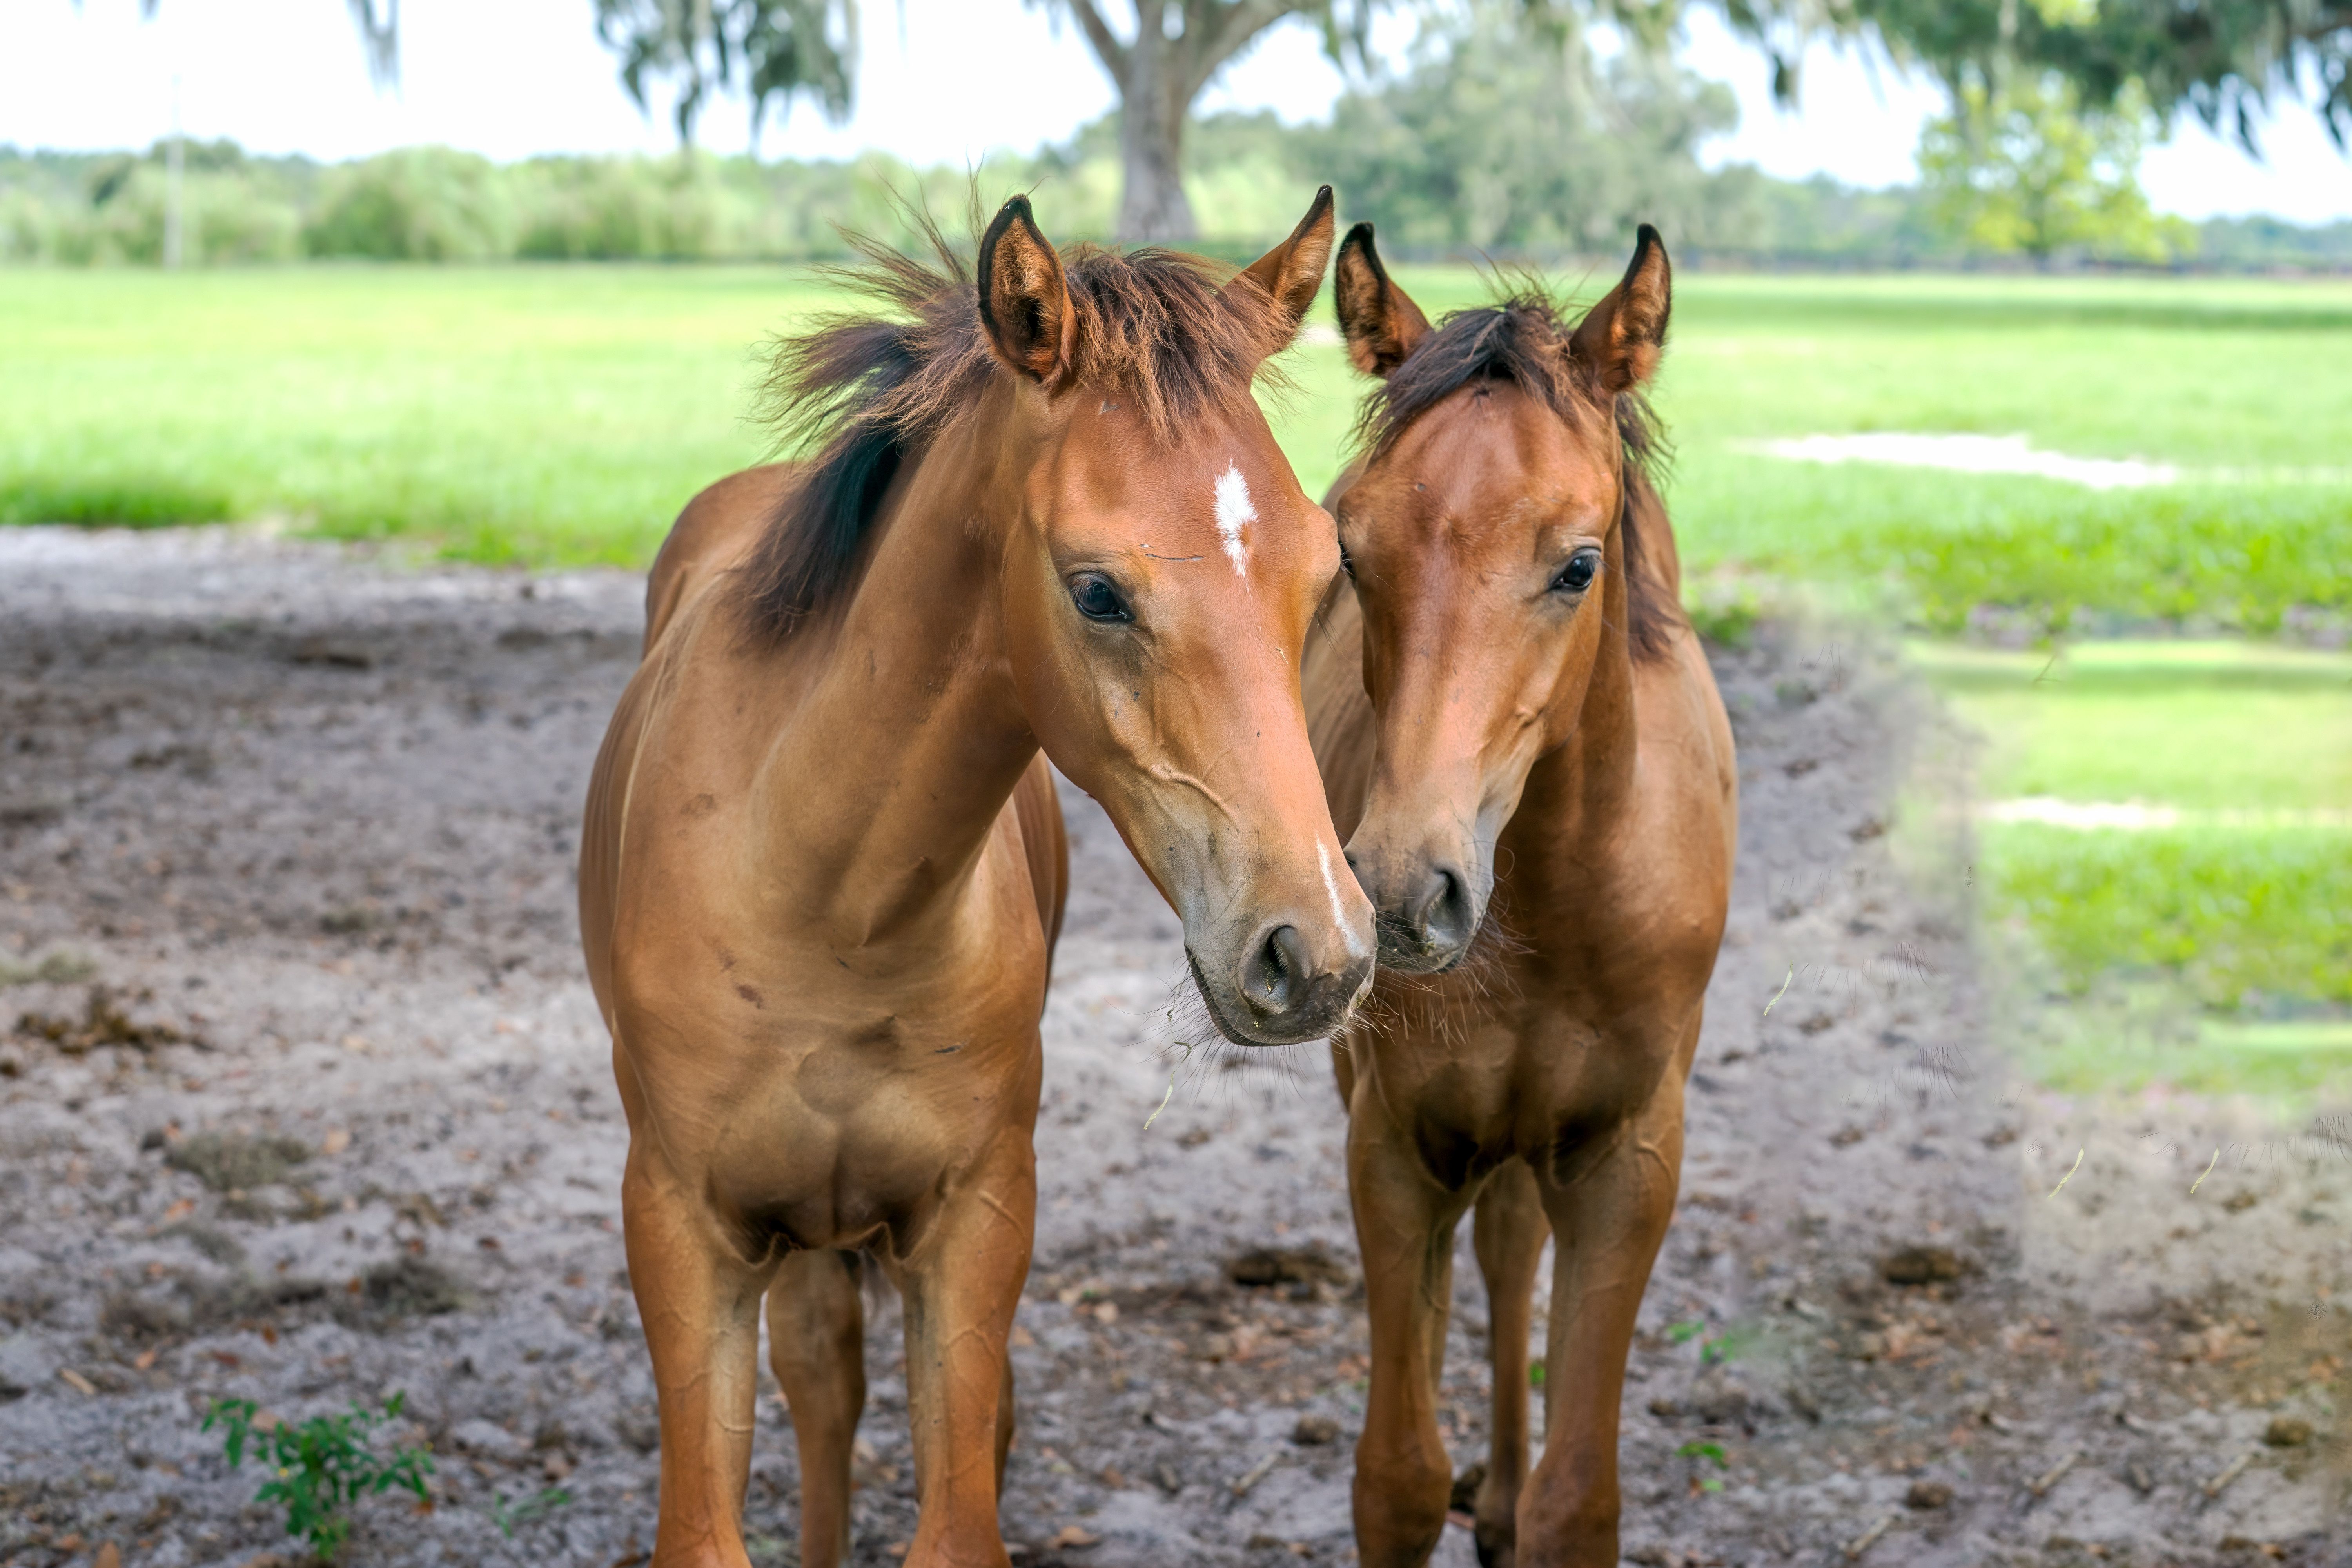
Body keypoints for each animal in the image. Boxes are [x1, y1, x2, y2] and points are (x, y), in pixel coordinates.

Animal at [578, 188, 1375, 1568]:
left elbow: (958, 1514)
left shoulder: (979, 1217)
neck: (834, 904)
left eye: (1326, 573)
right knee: (823, 1376)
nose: (1313, 953)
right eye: (1098, 590)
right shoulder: (681, 1226)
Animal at [1302, 224, 1737, 1568]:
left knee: (1509, 1247)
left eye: (1577, 564)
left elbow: (1575, 1498)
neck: (1550, 901)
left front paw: (1521, 1501)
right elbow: (1393, 1479)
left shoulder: (1627, 1159)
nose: (1403, 891)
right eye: (1350, 549)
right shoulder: (1392, 1143)